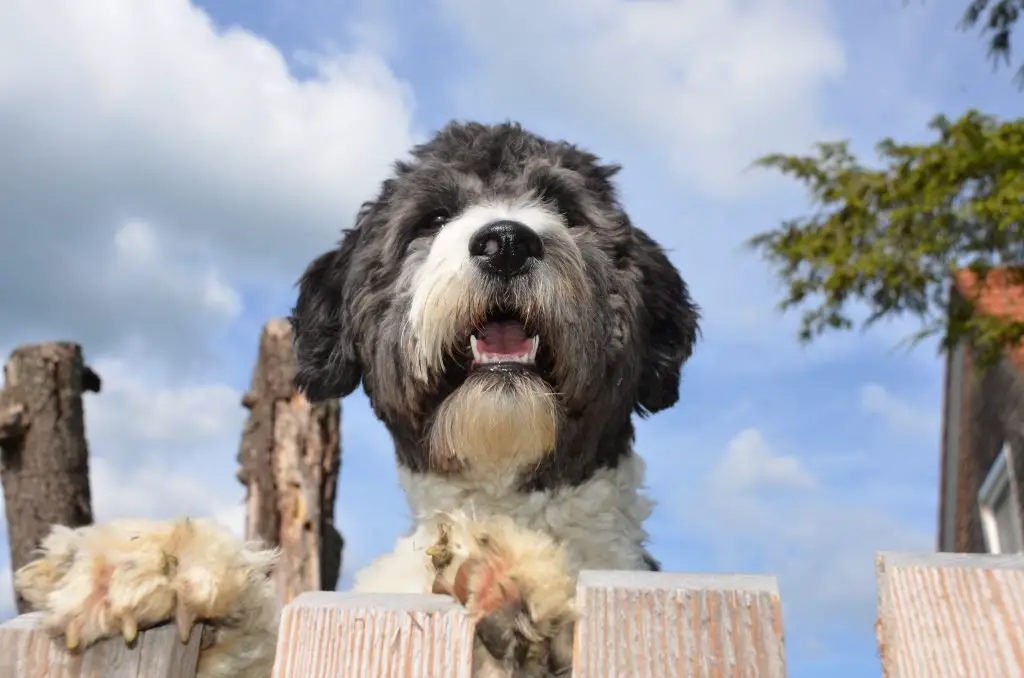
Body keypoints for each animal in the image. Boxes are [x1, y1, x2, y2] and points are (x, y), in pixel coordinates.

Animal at [16, 122, 700, 678]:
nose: (507, 241)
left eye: (564, 207)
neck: (500, 496)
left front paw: (512, 579)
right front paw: (149, 562)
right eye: (432, 219)